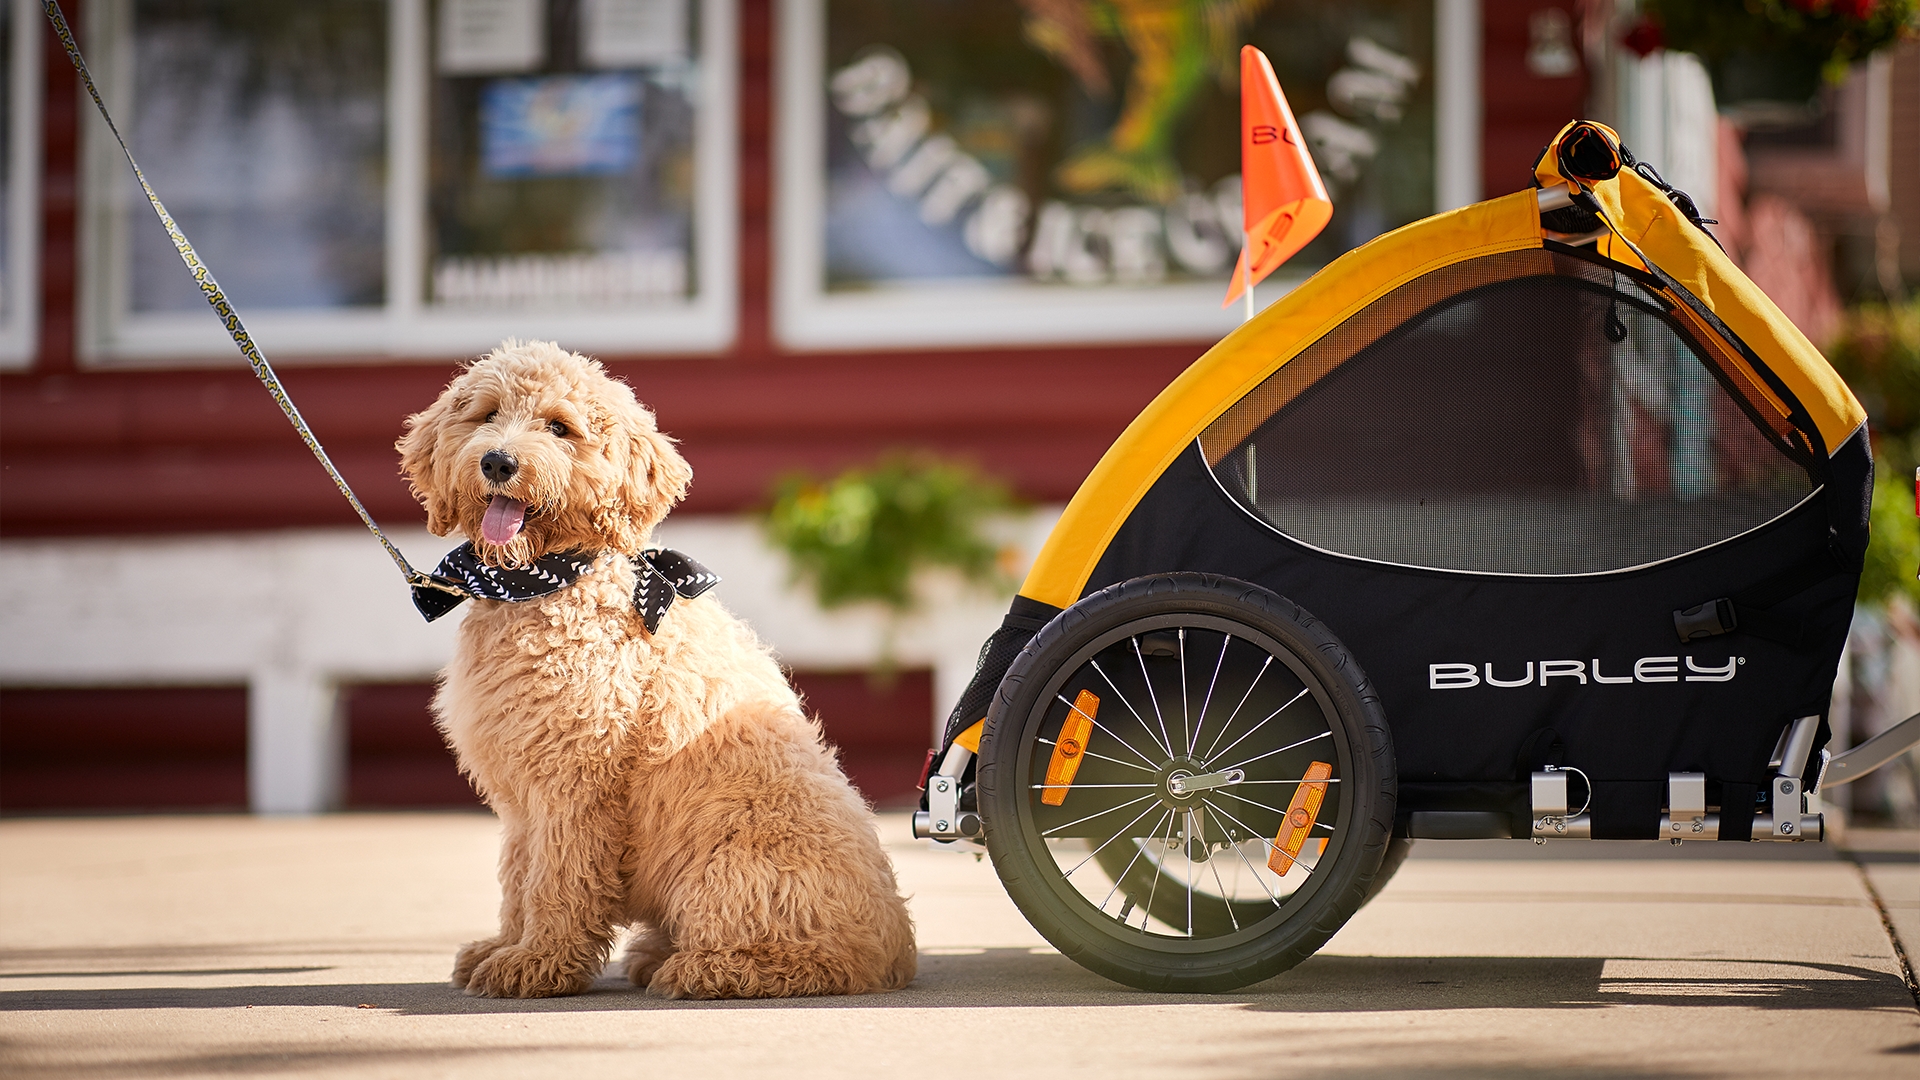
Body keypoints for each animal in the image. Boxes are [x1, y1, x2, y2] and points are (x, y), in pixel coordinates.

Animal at [395, 340, 913, 999]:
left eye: (560, 427)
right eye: (487, 415)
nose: (497, 461)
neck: (547, 582)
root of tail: (897, 949)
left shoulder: (574, 782)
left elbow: (555, 879)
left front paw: (538, 963)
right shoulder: (521, 795)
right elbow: (517, 875)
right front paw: (506, 947)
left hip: (731, 869)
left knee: (810, 954)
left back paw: (703, 968)